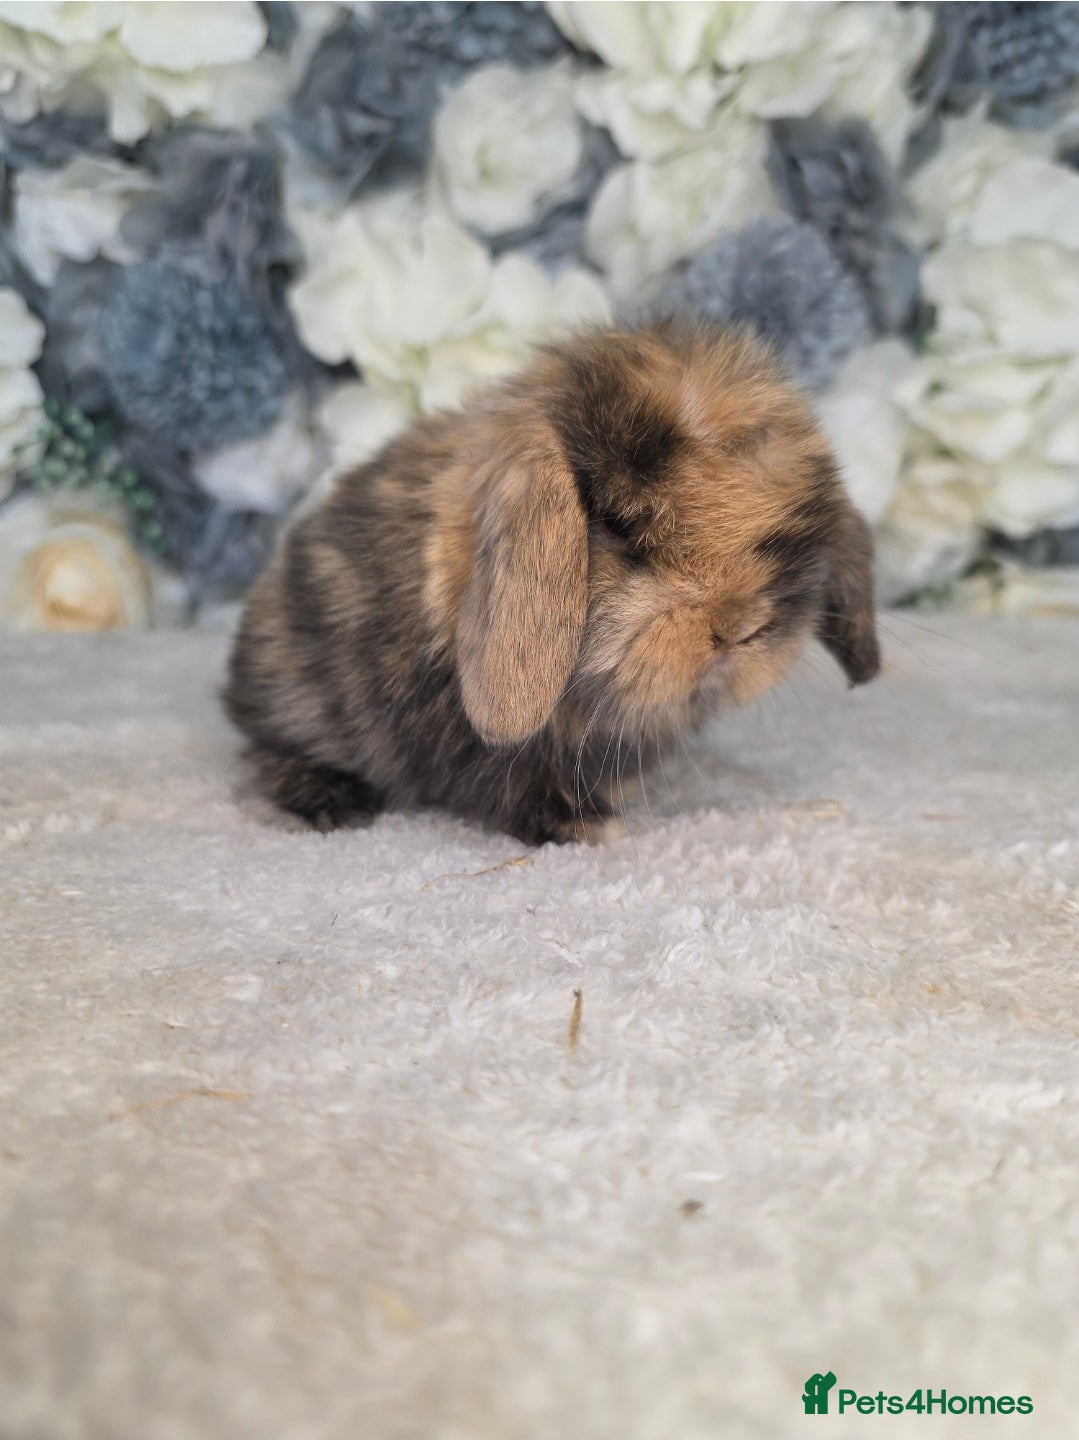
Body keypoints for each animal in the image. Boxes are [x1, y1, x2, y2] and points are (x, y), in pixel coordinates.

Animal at [224, 322, 880, 844]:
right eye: (616, 523)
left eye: (791, 536)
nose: (741, 627)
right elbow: (512, 783)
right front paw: (590, 826)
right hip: (293, 699)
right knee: (269, 751)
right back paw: (333, 802)